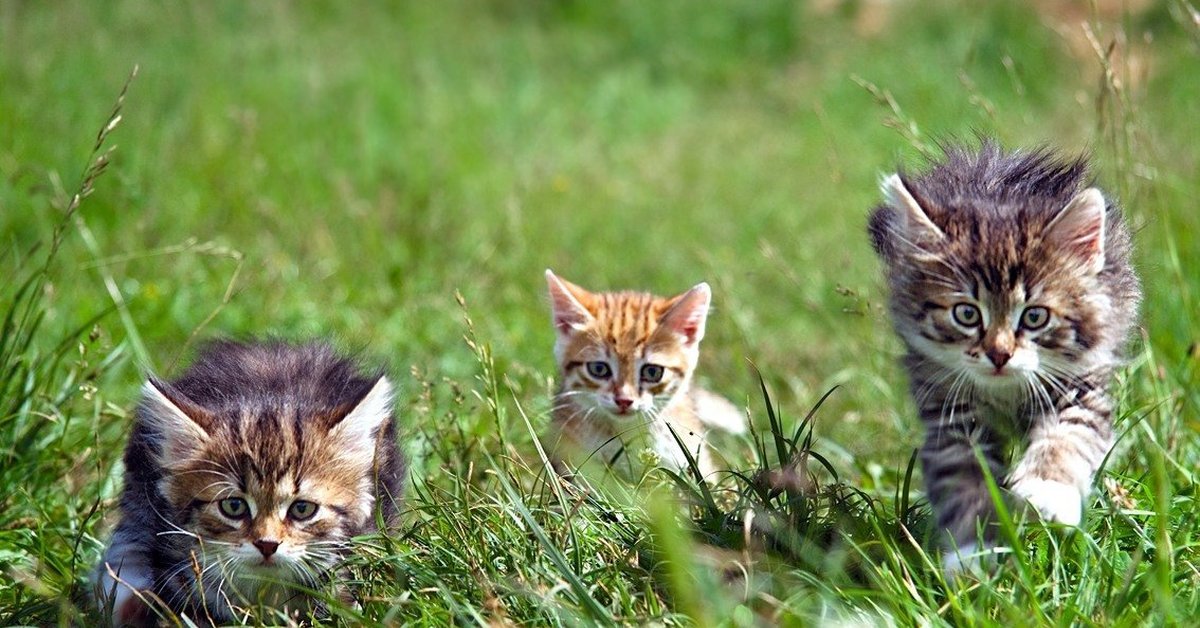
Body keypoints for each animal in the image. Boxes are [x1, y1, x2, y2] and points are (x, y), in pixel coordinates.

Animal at [868, 143, 1137, 573]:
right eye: (966, 313)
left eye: (1034, 316)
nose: (999, 354)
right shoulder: (950, 415)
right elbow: (965, 481)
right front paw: (971, 556)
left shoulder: (1081, 387)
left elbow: (1067, 438)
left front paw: (1045, 491)